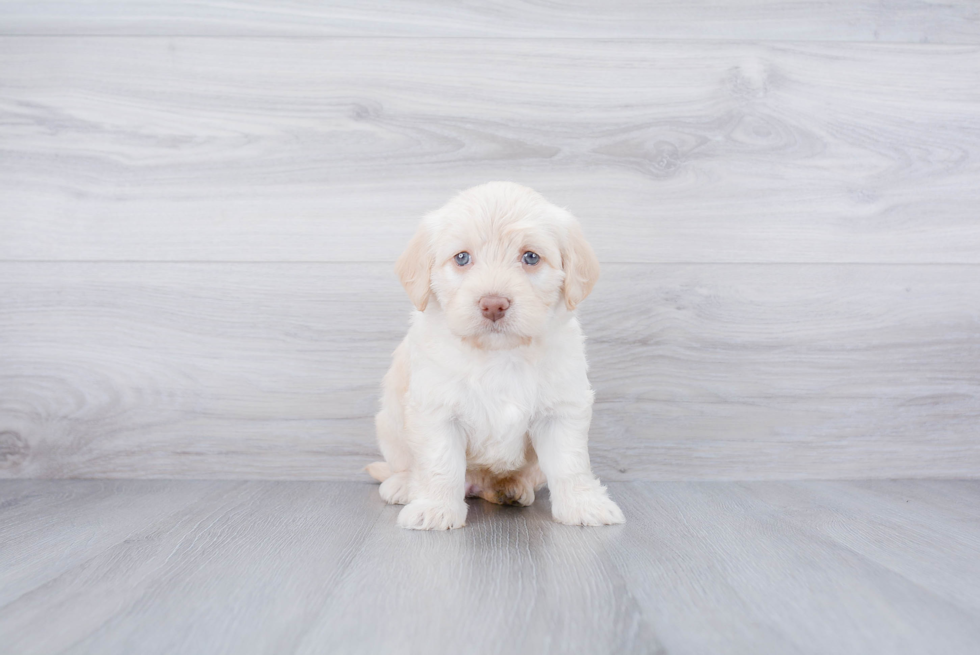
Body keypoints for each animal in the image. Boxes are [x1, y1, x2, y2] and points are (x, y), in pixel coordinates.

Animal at [364, 182, 624, 532]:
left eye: (530, 257)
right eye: (462, 258)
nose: (493, 304)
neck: (499, 353)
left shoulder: (561, 410)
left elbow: (570, 463)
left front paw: (584, 505)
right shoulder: (436, 409)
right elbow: (440, 463)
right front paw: (435, 508)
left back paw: (510, 487)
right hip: (389, 426)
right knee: (405, 466)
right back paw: (403, 485)